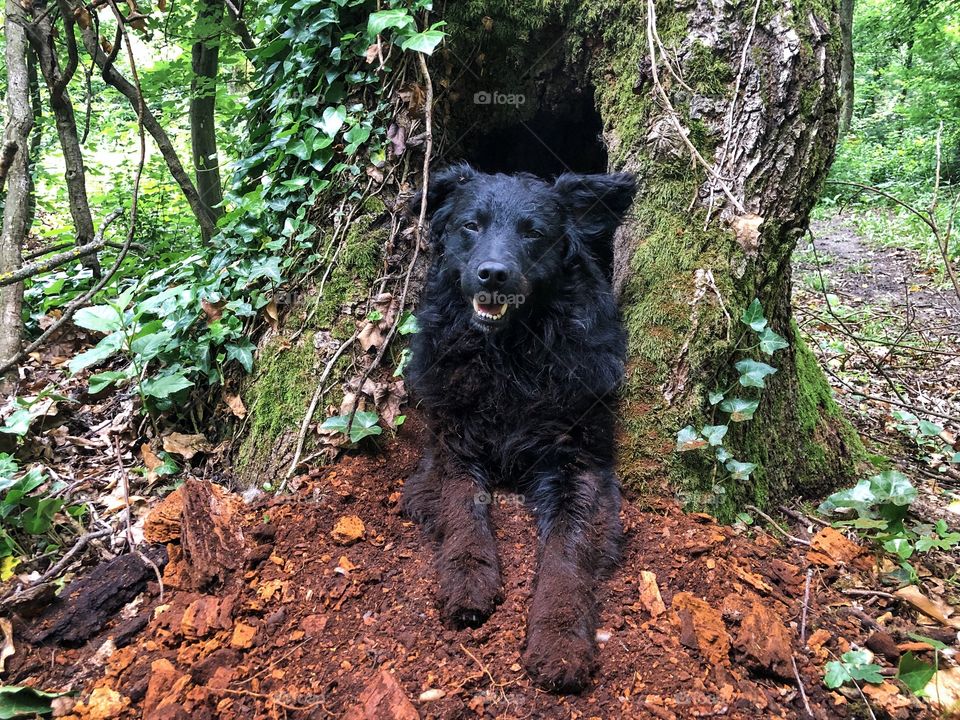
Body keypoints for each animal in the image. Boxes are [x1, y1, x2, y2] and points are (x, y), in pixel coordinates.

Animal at [404, 162, 636, 692]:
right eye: (471, 225)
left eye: (533, 233)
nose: (493, 273)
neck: (508, 355)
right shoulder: (450, 444)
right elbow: (462, 505)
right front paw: (468, 578)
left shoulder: (579, 463)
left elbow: (566, 552)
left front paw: (559, 637)